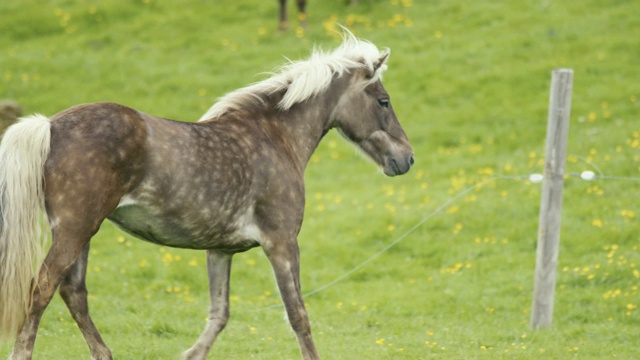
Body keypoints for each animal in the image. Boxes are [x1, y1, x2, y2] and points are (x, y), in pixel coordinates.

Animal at [0, 32, 412, 358]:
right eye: (383, 101)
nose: (406, 158)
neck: (274, 136)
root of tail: (50, 125)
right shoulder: (281, 243)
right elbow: (298, 316)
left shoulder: (220, 250)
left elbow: (219, 314)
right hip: (75, 229)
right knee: (41, 291)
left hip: (81, 232)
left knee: (74, 293)